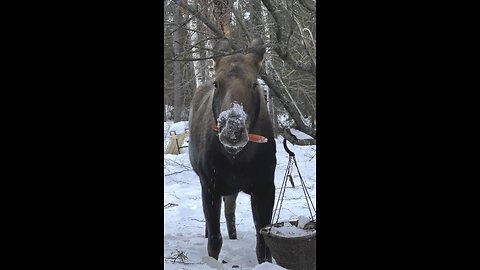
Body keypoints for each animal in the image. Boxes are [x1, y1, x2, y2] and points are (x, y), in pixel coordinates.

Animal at [188, 38, 276, 264]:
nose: (232, 130)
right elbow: (215, 241)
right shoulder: (209, 185)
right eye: (217, 83)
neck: (237, 159)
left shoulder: (265, 186)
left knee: (230, 209)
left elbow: (263, 244)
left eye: (254, 83)